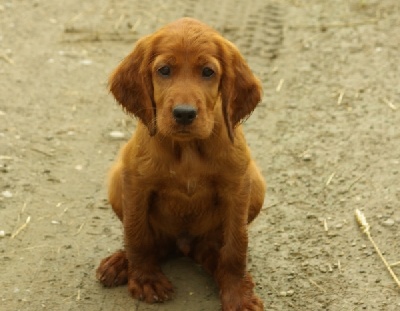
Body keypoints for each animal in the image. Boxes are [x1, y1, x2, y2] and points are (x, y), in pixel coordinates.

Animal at [95, 17, 268, 311]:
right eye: (164, 70)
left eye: (208, 72)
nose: (184, 114)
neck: (187, 150)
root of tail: (185, 245)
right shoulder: (136, 183)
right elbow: (137, 235)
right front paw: (146, 279)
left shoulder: (237, 186)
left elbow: (236, 247)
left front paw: (238, 294)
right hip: (117, 181)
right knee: (153, 242)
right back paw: (120, 263)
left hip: (256, 184)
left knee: (213, 247)